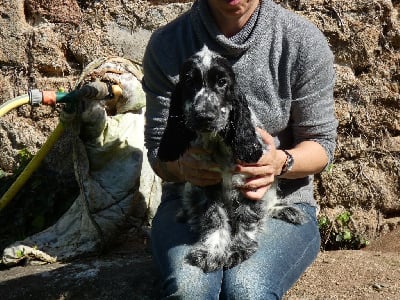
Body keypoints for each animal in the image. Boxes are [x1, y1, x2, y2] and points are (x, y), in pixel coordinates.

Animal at [157, 45, 306, 274]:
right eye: (189, 82)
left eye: (222, 82)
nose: (205, 116)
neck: (218, 144)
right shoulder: (207, 186)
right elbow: (214, 217)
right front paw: (211, 251)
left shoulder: (252, 183)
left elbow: (247, 216)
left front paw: (238, 249)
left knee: (268, 206)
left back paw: (287, 210)